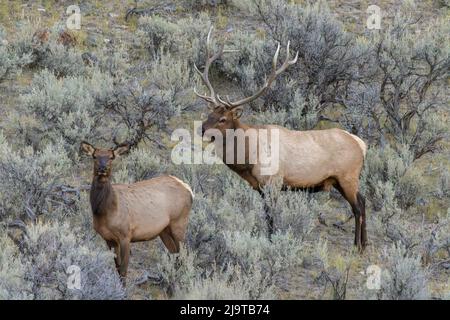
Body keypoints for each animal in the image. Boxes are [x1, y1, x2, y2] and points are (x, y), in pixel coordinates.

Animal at [81, 142, 193, 280]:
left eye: (111, 157)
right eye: (95, 156)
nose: (103, 168)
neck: (104, 211)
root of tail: (188, 189)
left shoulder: (125, 235)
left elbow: (123, 270)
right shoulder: (108, 239)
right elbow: (117, 269)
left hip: (179, 222)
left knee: (184, 256)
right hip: (164, 231)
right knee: (175, 256)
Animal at [195, 27, 368, 251]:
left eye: (223, 119)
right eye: (210, 114)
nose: (202, 129)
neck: (249, 158)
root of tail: (361, 144)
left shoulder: (274, 182)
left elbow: (271, 217)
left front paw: (272, 242)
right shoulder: (260, 187)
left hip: (348, 176)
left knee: (358, 206)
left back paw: (358, 245)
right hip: (341, 180)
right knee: (363, 201)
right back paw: (364, 243)